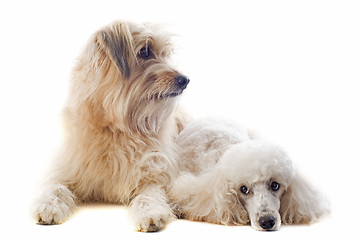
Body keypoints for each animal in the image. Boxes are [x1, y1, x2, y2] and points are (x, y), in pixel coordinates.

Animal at [33, 21, 190, 232]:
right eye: (145, 51)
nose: (185, 80)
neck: (118, 128)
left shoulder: (153, 173)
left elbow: (150, 194)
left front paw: (151, 213)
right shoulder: (65, 168)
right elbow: (54, 187)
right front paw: (47, 206)